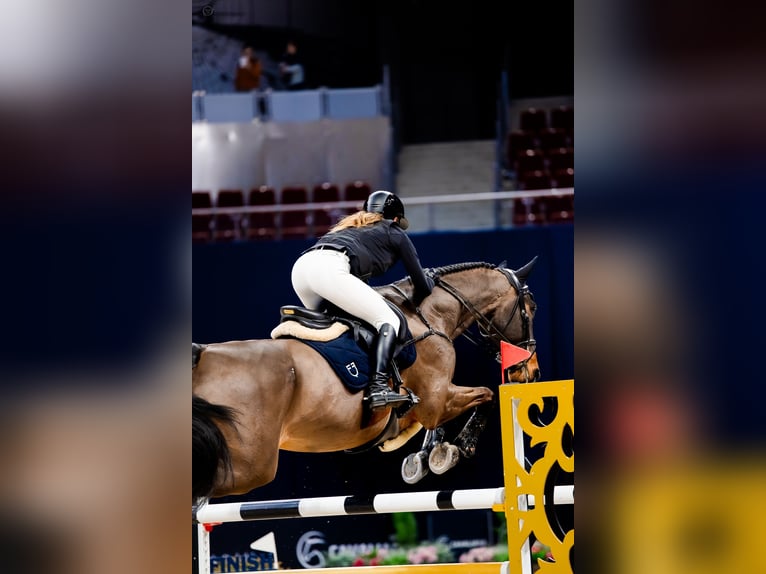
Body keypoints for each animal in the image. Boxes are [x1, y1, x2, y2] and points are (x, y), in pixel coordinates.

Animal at [193, 258, 540, 502]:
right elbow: (487, 395)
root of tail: (202, 357)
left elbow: (425, 424)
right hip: (251, 466)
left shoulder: (429, 403)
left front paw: (425, 455)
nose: (531, 372)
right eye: (532, 308)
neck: (429, 317)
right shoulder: (436, 400)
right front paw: (454, 449)